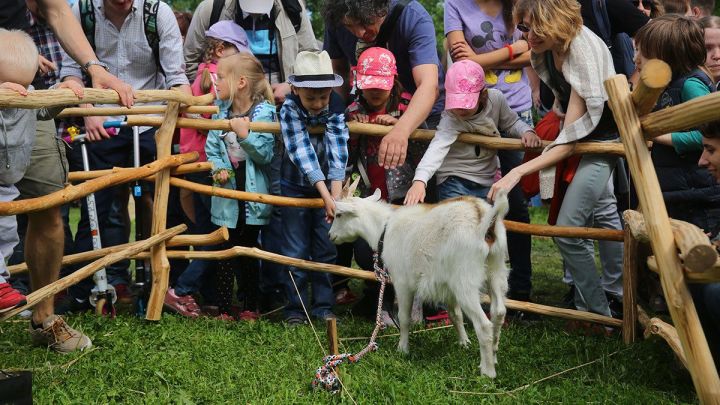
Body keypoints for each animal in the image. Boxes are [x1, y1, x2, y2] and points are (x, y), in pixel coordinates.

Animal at [330, 188, 510, 378]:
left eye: (339, 214)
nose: (330, 235)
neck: (384, 230)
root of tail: (484, 219)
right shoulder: (447, 284)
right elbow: (456, 315)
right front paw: (464, 343)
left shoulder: (402, 281)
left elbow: (403, 317)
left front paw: (402, 349)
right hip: (496, 269)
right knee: (498, 312)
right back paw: (494, 355)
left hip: (465, 281)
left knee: (484, 325)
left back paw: (487, 371)